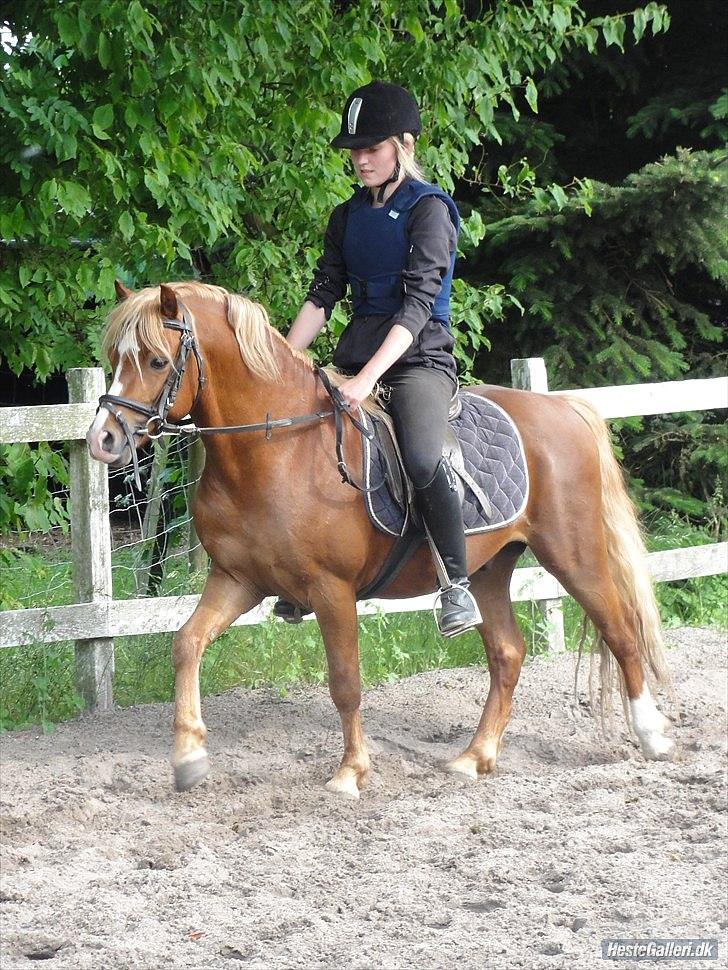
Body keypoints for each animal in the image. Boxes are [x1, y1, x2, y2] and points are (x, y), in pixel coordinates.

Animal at [86, 280, 676, 796]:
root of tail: (562, 408)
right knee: (508, 653)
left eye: (156, 361)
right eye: (114, 357)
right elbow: (186, 644)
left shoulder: (332, 590)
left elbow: (345, 682)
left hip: (574, 555)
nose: (102, 440)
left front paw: (351, 773)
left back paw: (652, 736)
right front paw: (188, 758)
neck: (276, 450)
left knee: (622, 631)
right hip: (488, 569)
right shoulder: (237, 579)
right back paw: (474, 757)